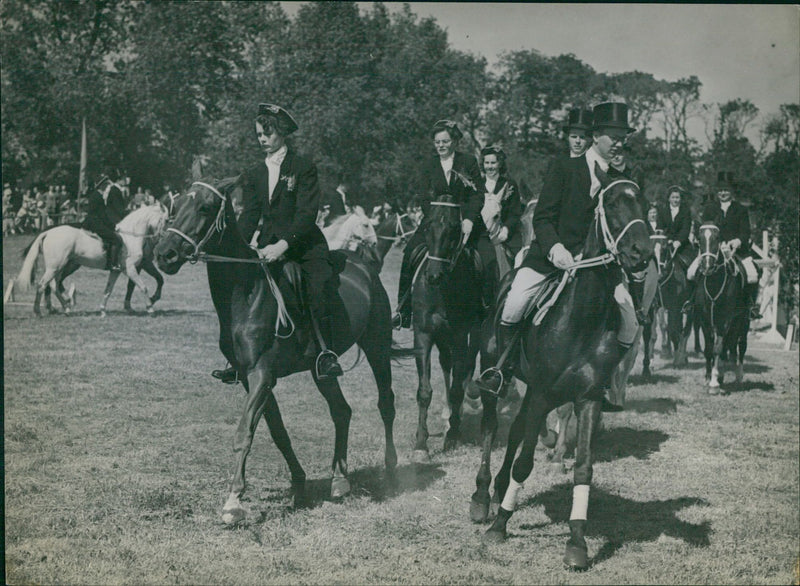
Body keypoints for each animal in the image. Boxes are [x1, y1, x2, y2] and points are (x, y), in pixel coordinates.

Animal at [15, 204, 170, 318]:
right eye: (165, 221)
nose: (163, 238)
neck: (130, 237)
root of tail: (48, 232)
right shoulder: (130, 268)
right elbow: (143, 287)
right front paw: (150, 309)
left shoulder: (116, 271)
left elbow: (108, 290)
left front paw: (102, 310)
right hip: (55, 267)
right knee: (43, 285)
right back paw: (39, 311)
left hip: (61, 266)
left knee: (54, 285)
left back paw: (66, 307)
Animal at [153, 176, 396, 524]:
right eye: (176, 204)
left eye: (205, 207)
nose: (165, 254)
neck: (247, 292)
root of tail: (366, 267)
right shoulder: (249, 377)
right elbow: (278, 431)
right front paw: (298, 484)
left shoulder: (261, 375)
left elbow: (244, 432)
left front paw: (233, 501)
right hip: (321, 370)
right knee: (341, 411)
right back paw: (339, 480)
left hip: (377, 347)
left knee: (386, 404)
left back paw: (391, 471)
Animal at [410, 194, 484, 458]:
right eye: (426, 227)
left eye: (453, 231)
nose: (433, 276)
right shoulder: (423, 335)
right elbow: (424, 391)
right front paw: (421, 443)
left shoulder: (461, 336)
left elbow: (457, 387)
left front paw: (452, 435)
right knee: (447, 364)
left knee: (465, 372)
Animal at [478, 169, 652, 572]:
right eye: (612, 204)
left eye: (644, 203)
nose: (642, 253)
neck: (582, 318)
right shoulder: (543, 393)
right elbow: (524, 464)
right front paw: (499, 527)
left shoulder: (586, 398)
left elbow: (583, 467)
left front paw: (576, 542)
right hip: (498, 375)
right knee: (492, 426)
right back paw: (481, 497)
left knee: (514, 433)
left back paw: (497, 491)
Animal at [692, 224, 752, 392]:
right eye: (699, 238)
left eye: (717, 238)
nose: (707, 266)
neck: (714, 283)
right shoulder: (705, 321)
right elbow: (709, 349)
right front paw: (708, 378)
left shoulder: (724, 321)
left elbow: (718, 348)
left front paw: (714, 382)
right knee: (728, 346)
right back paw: (722, 374)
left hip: (743, 321)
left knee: (740, 346)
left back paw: (738, 376)